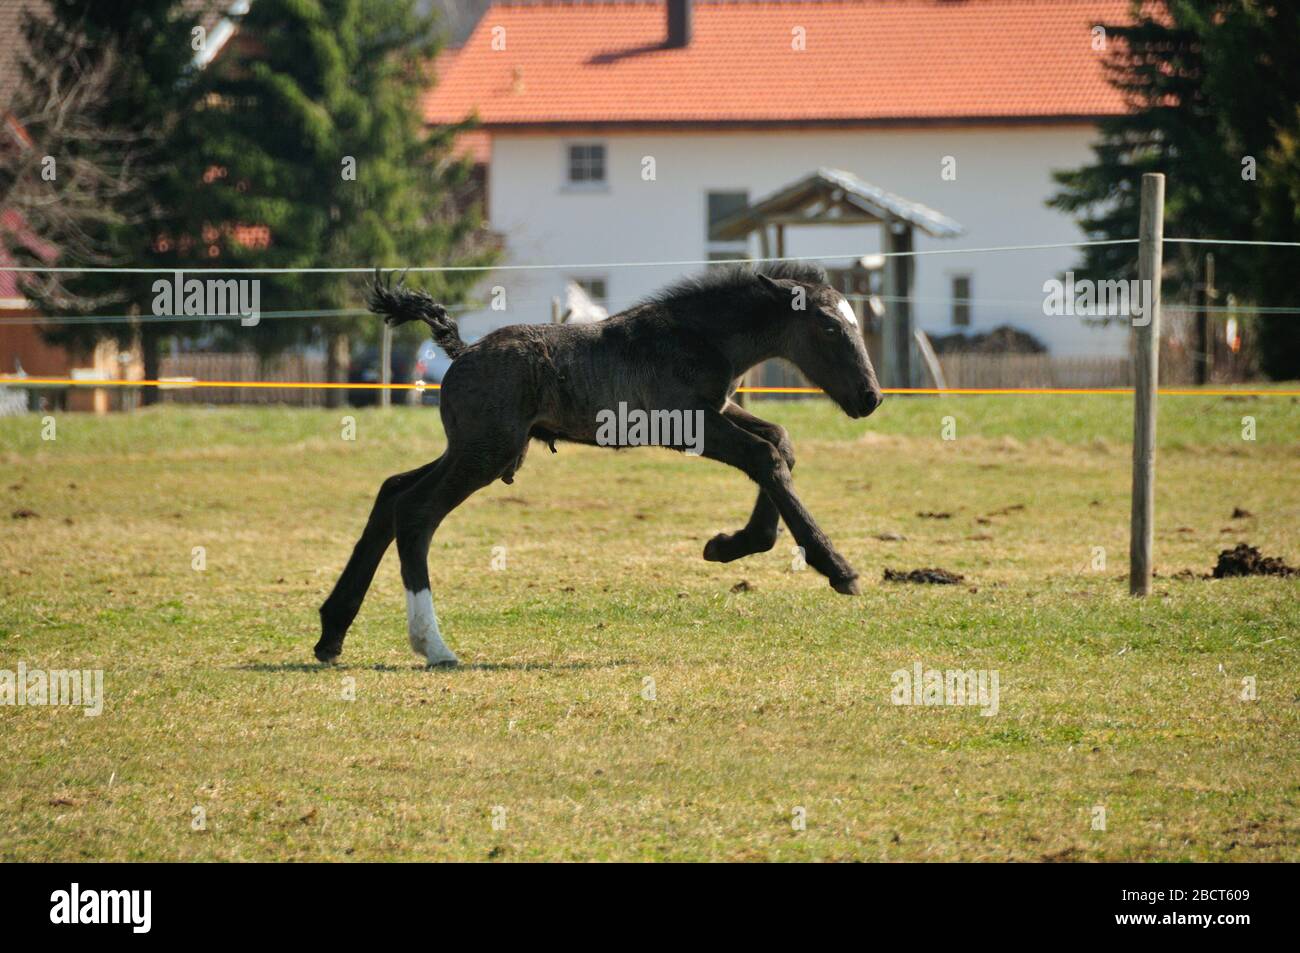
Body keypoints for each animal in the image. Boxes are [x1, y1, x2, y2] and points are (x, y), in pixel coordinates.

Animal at [314, 262, 883, 666]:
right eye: (828, 329)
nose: (870, 397)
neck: (699, 336)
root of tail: (461, 351)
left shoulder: (719, 412)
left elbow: (780, 444)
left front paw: (730, 545)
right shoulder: (688, 425)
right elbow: (765, 456)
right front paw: (837, 568)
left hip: (472, 449)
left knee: (391, 491)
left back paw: (331, 633)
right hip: (483, 455)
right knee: (415, 511)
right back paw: (433, 647)